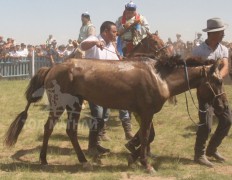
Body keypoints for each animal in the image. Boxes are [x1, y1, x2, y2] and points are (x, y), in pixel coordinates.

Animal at [4, 55, 227, 173]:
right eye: (218, 81)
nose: (224, 105)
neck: (159, 78)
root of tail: (52, 67)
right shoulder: (146, 112)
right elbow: (146, 136)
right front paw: (146, 164)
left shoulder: (141, 113)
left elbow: (147, 137)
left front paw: (133, 156)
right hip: (60, 105)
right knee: (49, 128)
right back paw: (43, 160)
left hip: (75, 105)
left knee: (70, 131)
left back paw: (83, 160)